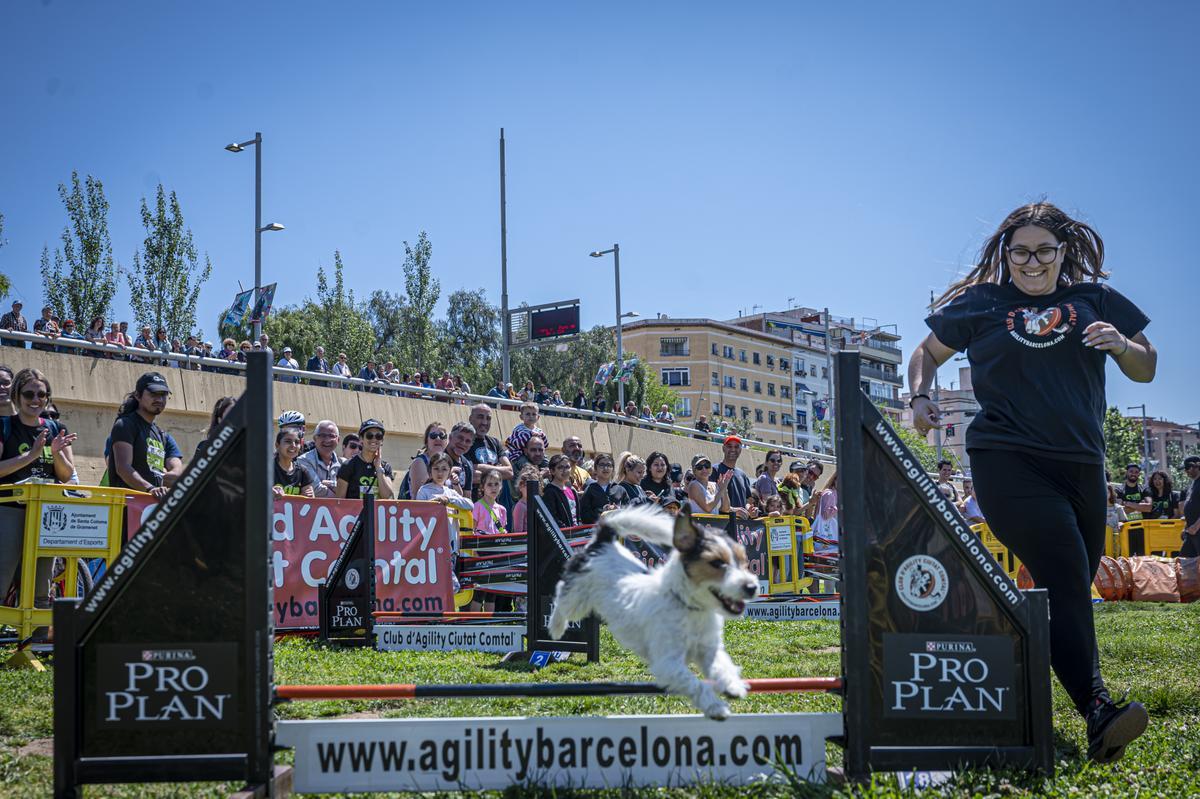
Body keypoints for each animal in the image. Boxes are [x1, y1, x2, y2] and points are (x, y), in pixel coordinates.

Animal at [549, 503, 753, 715]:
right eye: (716, 563)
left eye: (743, 561)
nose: (752, 587)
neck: (687, 606)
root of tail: (603, 542)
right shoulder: (668, 663)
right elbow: (696, 684)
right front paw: (715, 706)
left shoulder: (708, 650)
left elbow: (722, 665)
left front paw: (732, 684)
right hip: (577, 599)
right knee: (560, 596)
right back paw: (555, 628)